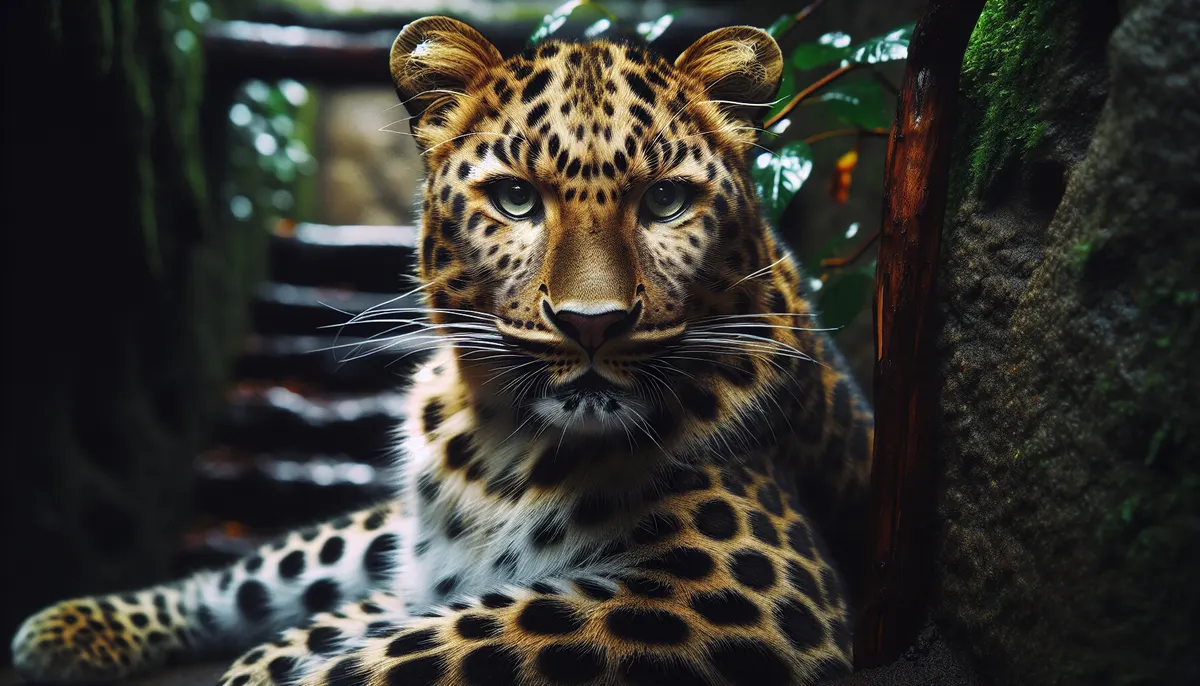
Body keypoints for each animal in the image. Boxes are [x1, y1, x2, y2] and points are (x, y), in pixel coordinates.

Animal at [10, 16, 875, 686]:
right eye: (516, 198)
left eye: (665, 200)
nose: (592, 324)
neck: (506, 445)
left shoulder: (744, 588)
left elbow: (426, 643)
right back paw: (67, 627)